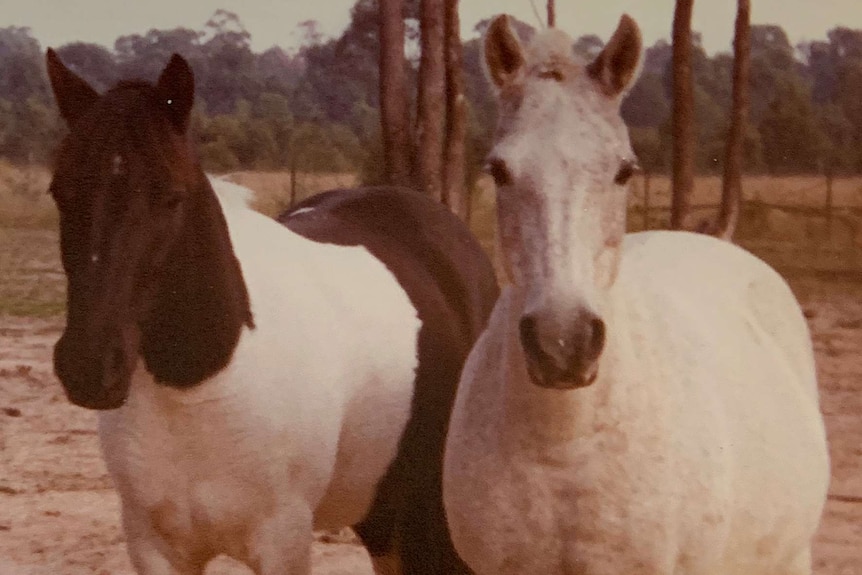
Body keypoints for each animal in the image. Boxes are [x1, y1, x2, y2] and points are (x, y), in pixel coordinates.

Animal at [45, 50, 500, 575]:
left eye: (171, 196)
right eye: (59, 191)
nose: (88, 363)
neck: (200, 380)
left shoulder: (281, 540)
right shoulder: (154, 547)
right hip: (382, 511)